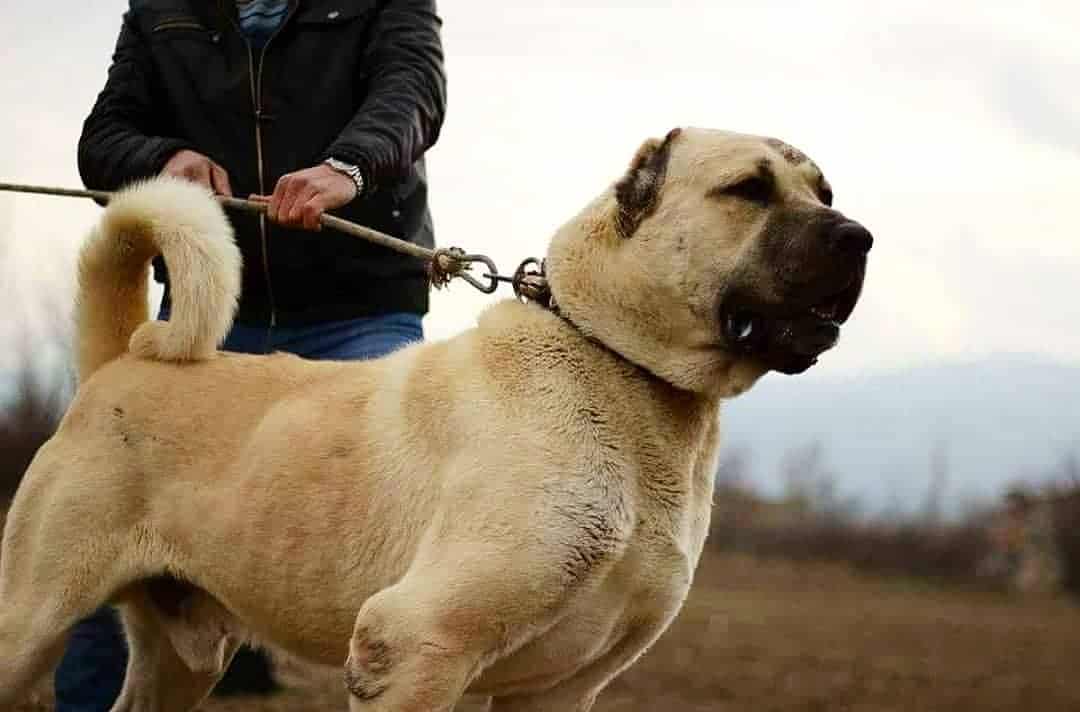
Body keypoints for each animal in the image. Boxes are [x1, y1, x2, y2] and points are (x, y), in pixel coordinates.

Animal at [0, 129, 868, 712]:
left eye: (824, 193)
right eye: (749, 189)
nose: (860, 236)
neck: (619, 367)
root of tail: (118, 361)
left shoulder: (558, 690)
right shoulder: (416, 641)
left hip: (188, 655)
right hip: (32, 621)